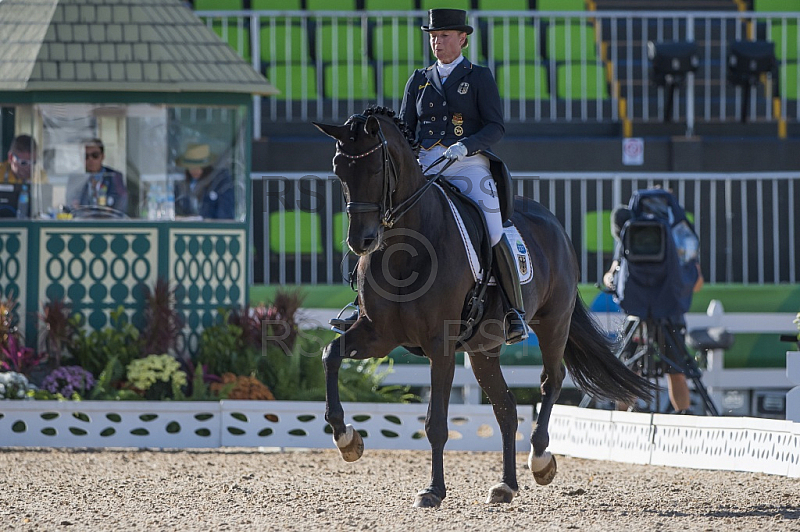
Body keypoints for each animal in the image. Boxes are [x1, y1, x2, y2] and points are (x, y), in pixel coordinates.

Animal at [312, 107, 648, 508]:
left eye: (377, 169)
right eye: (339, 170)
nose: (360, 241)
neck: (404, 247)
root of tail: (552, 222)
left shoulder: (439, 345)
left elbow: (436, 424)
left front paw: (433, 490)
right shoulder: (377, 334)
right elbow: (331, 355)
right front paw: (347, 439)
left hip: (553, 323)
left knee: (550, 382)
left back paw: (540, 461)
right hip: (482, 349)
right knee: (506, 409)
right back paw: (506, 485)